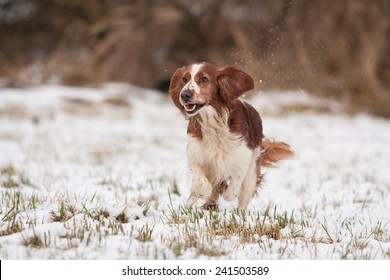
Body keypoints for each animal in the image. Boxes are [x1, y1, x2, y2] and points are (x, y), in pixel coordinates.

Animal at [168, 61, 292, 210]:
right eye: (184, 79)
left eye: (203, 79)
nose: (184, 95)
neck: (213, 122)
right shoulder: (195, 155)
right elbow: (201, 182)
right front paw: (203, 192)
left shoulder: (242, 158)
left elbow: (231, 191)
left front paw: (227, 192)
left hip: (252, 171)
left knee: (243, 199)